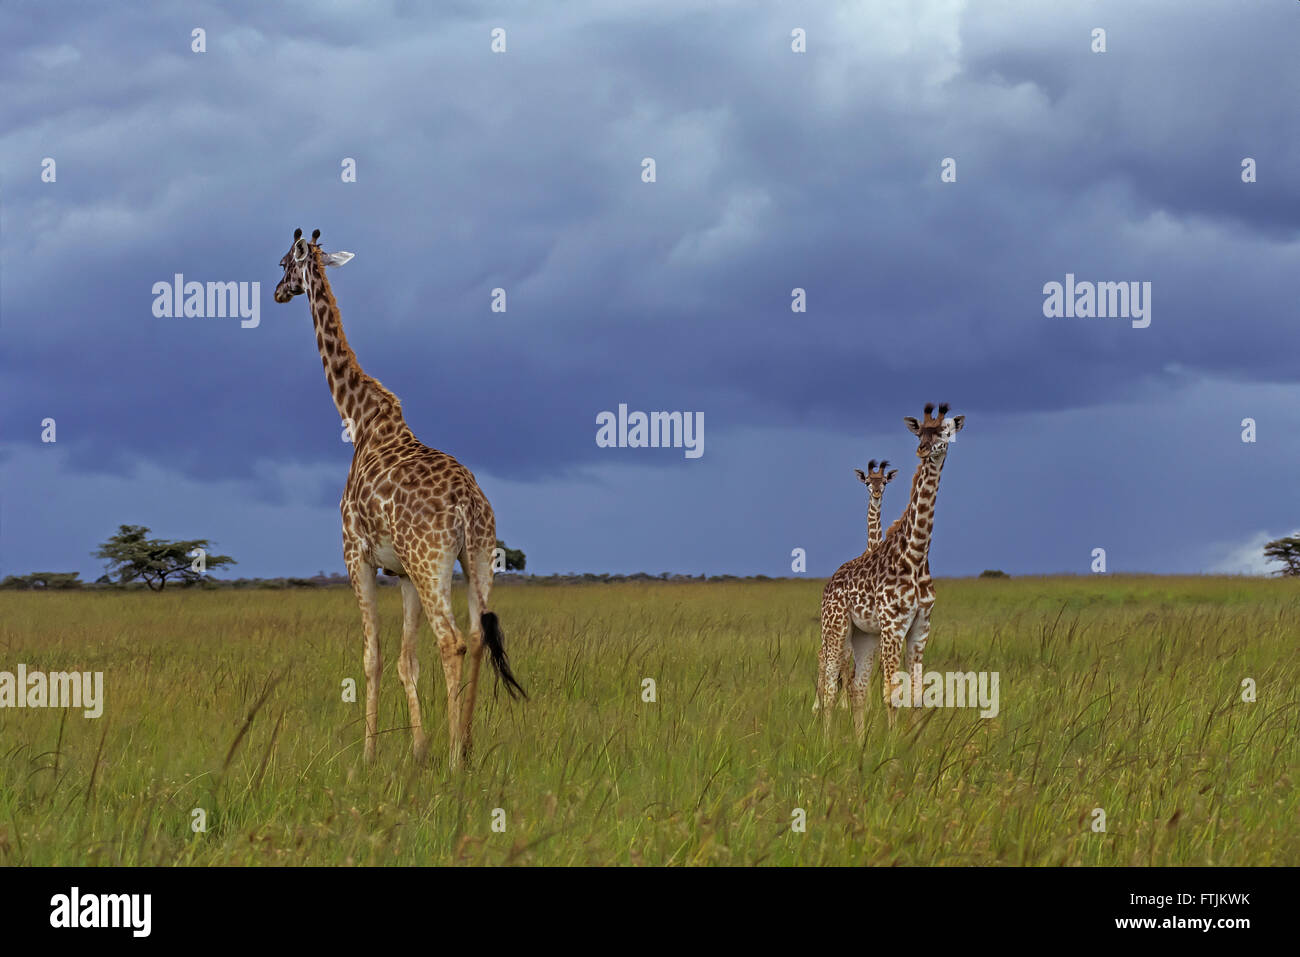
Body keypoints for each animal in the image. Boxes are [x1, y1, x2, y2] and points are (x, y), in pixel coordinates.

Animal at [273, 226, 522, 769]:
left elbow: (373, 658)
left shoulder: (356, 555)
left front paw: (367, 755)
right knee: (476, 636)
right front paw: (417, 749)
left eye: (282, 262)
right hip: (477, 556)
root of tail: (467, 505)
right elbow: (408, 660)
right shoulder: (402, 572)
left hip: (433, 560)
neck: (360, 419)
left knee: (451, 641)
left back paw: (455, 759)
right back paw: (466, 743)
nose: (278, 292)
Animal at [806, 455, 899, 712]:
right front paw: (846, 706)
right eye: (867, 481)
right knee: (824, 657)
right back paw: (818, 704)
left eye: (884, 482)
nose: (876, 493)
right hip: (832, 629)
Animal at [821, 400, 967, 738]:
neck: (914, 555)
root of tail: (829, 583)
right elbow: (891, 693)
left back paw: (858, 743)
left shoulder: (920, 626)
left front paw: (913, 743)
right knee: (830, 687)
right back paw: (827, 742)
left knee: (857, 688)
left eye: (945, 431)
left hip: (864, 636)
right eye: (920, 432)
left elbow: (917, 694)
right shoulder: (892, 626)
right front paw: (892, 744)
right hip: (836, 630)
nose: (924, 449)